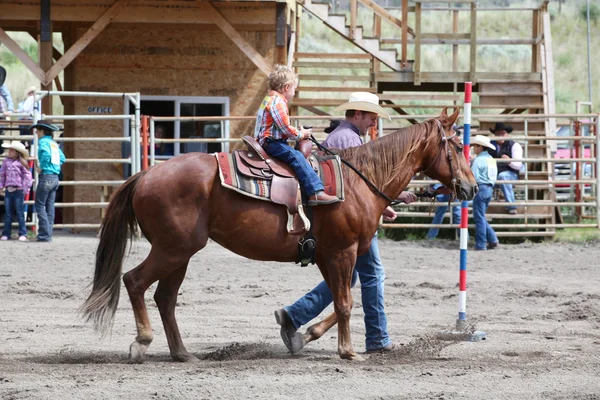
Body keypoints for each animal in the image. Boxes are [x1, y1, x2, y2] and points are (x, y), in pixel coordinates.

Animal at [81, 108, 478, 360]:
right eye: (455, 145)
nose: (472, 187)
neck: (360, 180)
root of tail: (146, 175)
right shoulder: (342, 252)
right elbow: (346, 302)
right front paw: (348, 351)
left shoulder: (328, 255)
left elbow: (341, 298)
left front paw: (302, 334)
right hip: (172, 250)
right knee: (134, 281)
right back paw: (142, 342)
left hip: (180, 253)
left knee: (165, 297)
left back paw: (182, 353)